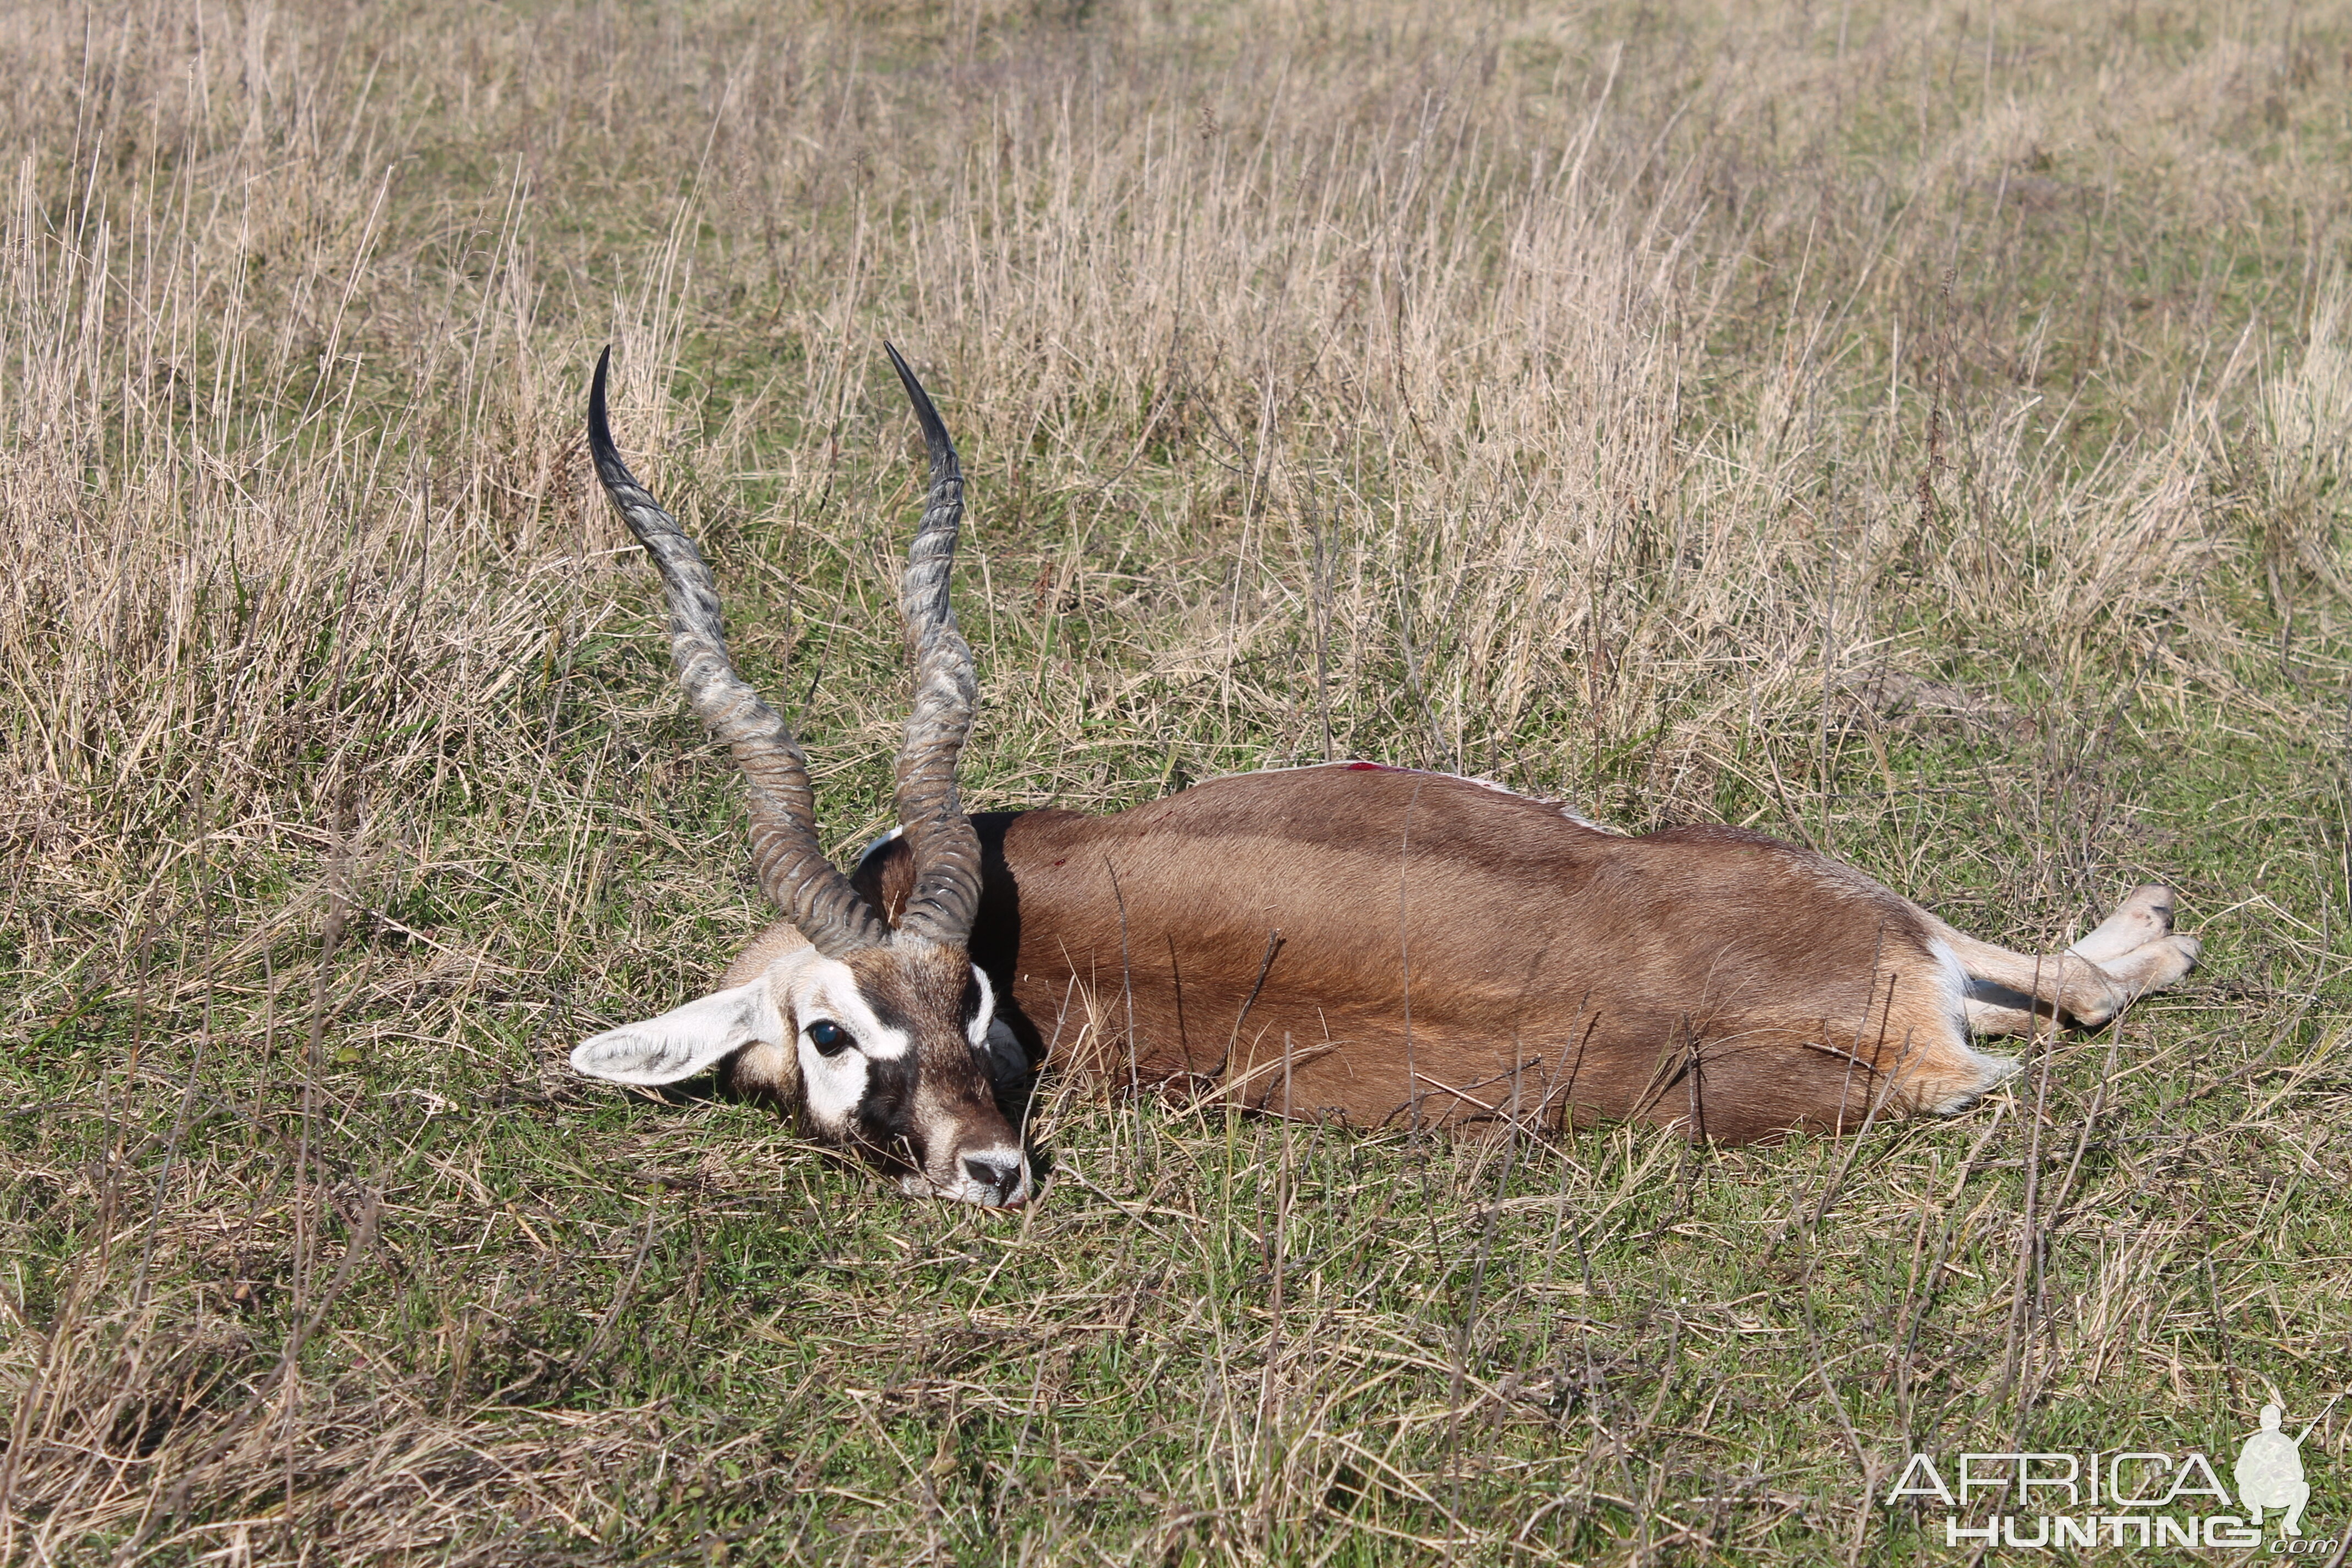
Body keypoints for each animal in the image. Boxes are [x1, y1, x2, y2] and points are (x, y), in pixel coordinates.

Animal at [569, 345, 2201, 1204]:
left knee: (2063, 985)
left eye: (971, 996)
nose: (993, 1165)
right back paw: (2153, 934)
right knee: (2067, 995)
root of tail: (1888, 1021)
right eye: (834, 1034)